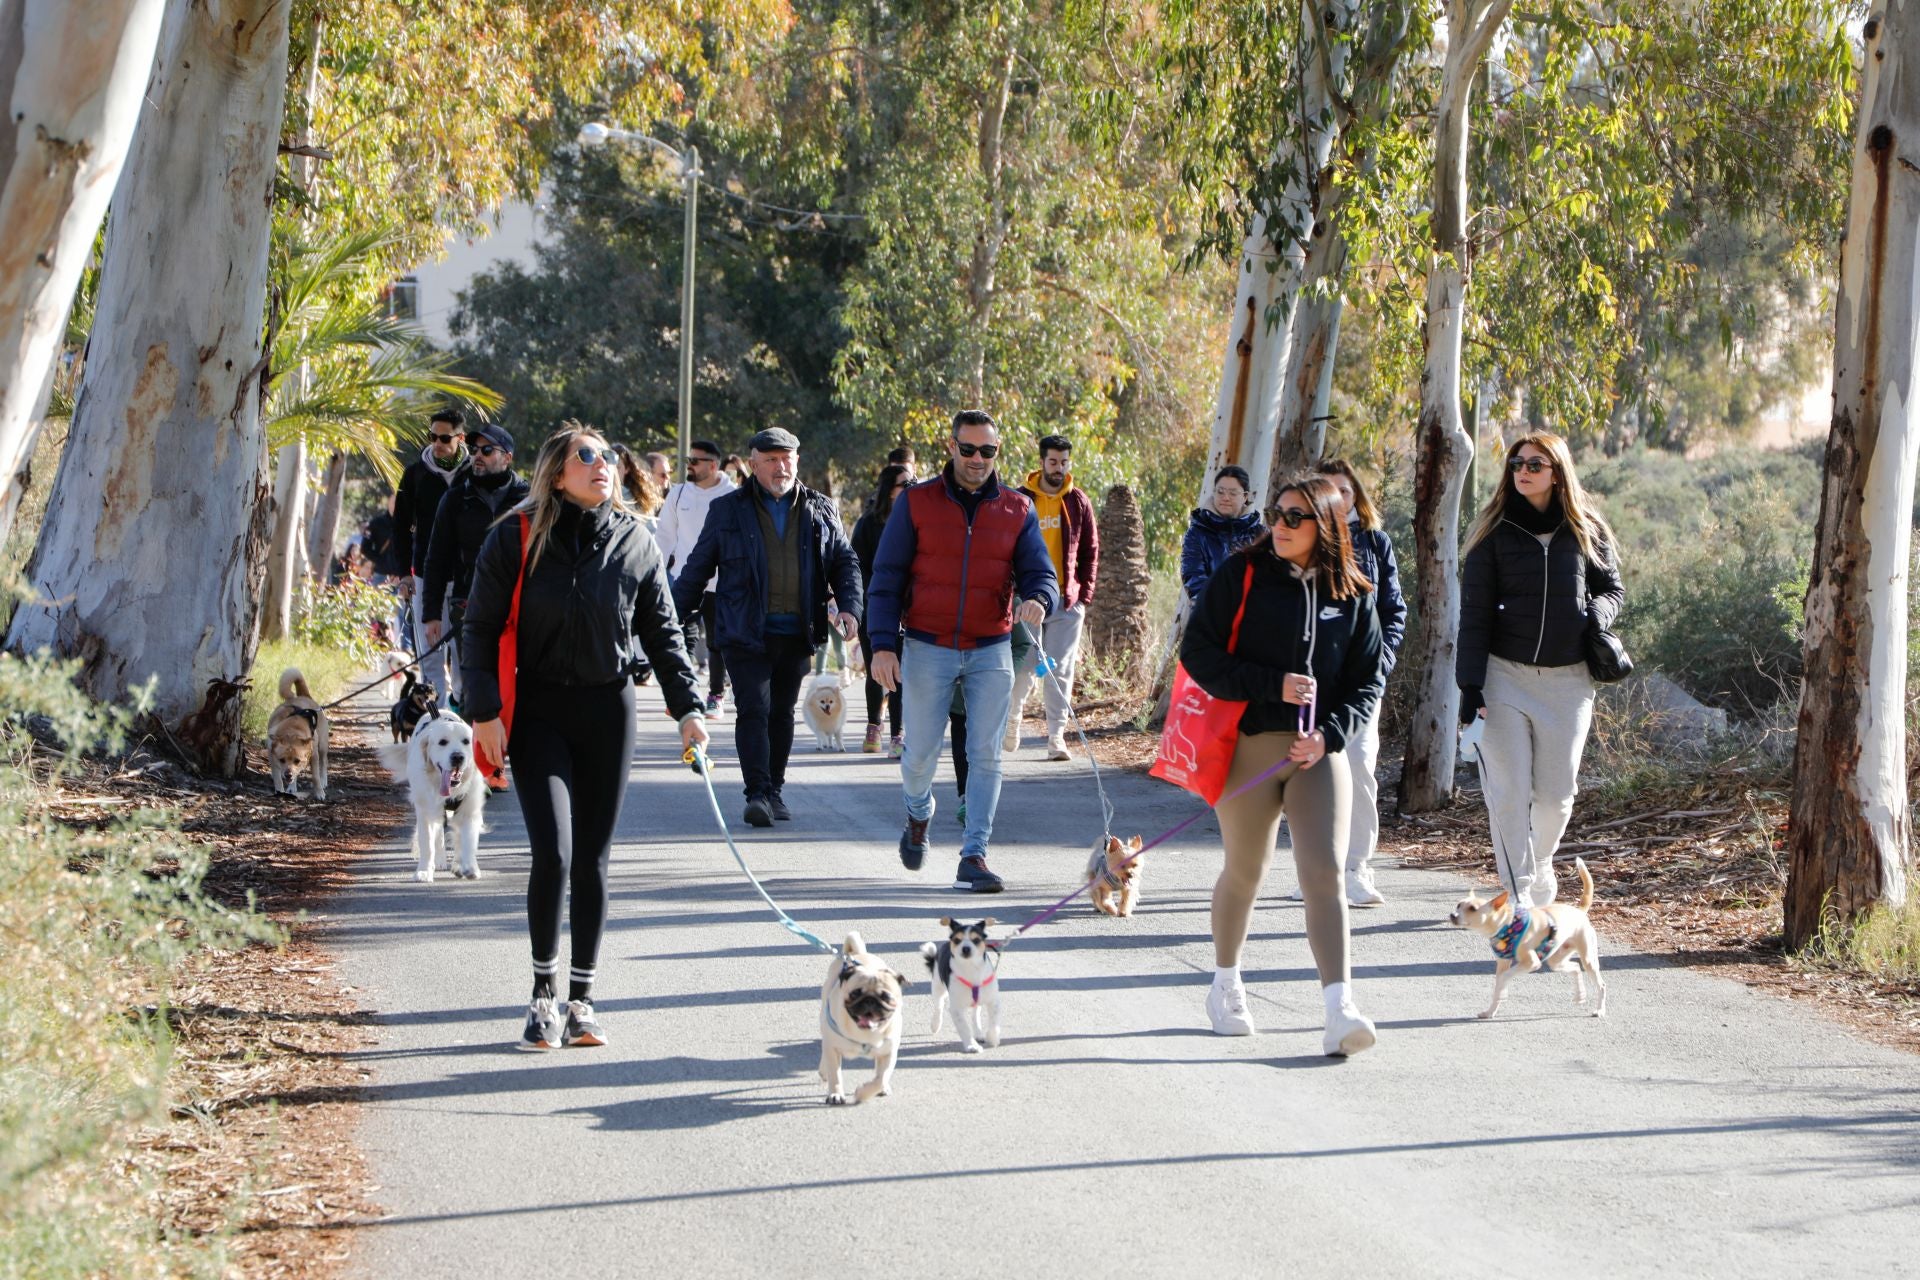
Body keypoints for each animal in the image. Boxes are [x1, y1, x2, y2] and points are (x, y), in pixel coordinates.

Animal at [266, 671, 330, 802]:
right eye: (282, 760)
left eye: (297, 760)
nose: (288, 774)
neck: (291, 732)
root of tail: (305, 696)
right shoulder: (272, 756)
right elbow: (277, 777)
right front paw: (280, 791)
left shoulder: (314, 755)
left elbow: (315, 777)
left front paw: (319, 793)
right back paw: (291, 787)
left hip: (322, 746)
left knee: (324, 761)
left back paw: (323, 781)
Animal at [1451, 855, 1605, 1028]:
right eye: (1458, 905)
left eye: (1473, 909)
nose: (1452, 915)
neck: (1508, 924)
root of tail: (1579, 911)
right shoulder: (1502, 963)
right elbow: (1498, 987)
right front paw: (1490, 1012)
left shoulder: (1531, 963)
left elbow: (1504, 979)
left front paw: (1502, 992)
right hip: (1556, 960)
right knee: (1576, 967)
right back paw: (1580, 995)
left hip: (1588, 958)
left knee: (1600, 984)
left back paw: (1599, 1010)